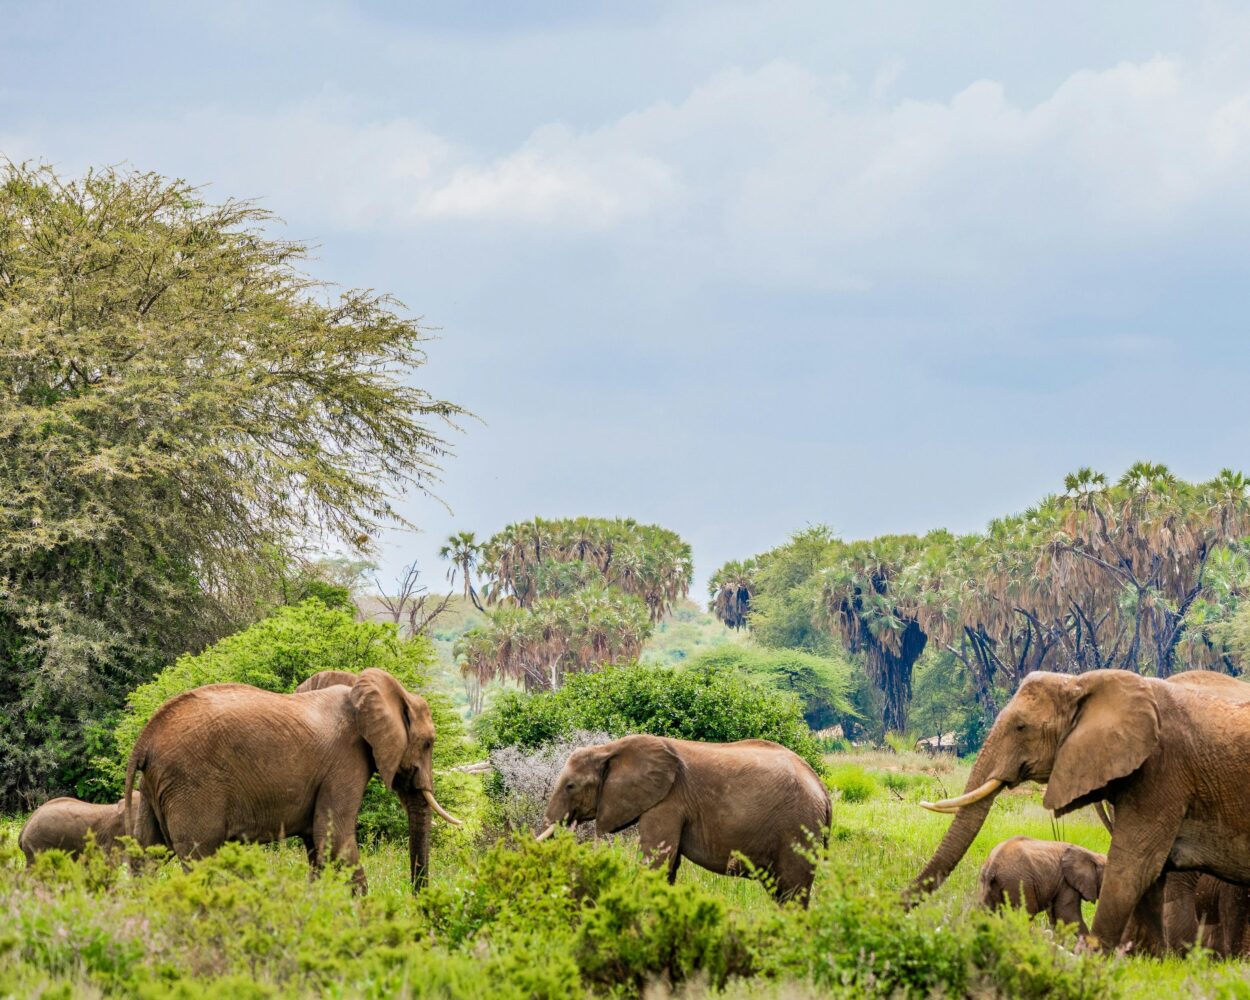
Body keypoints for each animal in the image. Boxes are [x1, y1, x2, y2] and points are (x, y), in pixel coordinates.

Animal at [123, 665, 460, 890]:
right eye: (428, 743)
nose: (417, 901)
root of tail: (144, 739)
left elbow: (317, 845)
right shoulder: (345, 761)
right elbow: (335, 840)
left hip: (155, 787)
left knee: (147, 856)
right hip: (192, 784)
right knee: (199, 859)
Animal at [535, 735, 830, 905]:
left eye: (570, 786)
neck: (608, 749)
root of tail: (823, 789)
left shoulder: (667, 802)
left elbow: (657, 861)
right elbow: (669, 864)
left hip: (797, 827)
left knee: (792, 892)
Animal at [975, 830, 1105, 935]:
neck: (1092, 854)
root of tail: (993, 864)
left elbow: (1055, 916)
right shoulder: (1067, 882)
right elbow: (1067, 914)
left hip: (986, 882)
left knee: (985, 912)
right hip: (1018, 882)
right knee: (1025, 914)